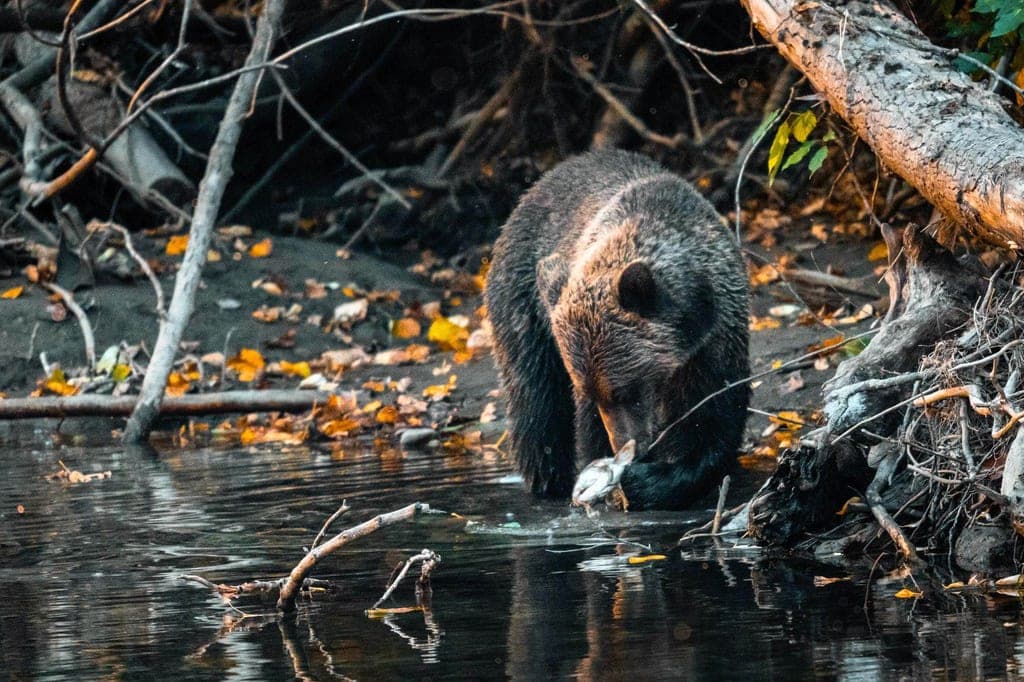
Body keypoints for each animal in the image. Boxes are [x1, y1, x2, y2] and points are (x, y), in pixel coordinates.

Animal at [485, 149, 750, 510]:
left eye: (628, 391)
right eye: (595, 395)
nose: (628, 446)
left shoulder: (714, 344)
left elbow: (713, 422)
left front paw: (647, 480)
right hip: (524, 303)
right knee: (536, 400)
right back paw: (548, 480)